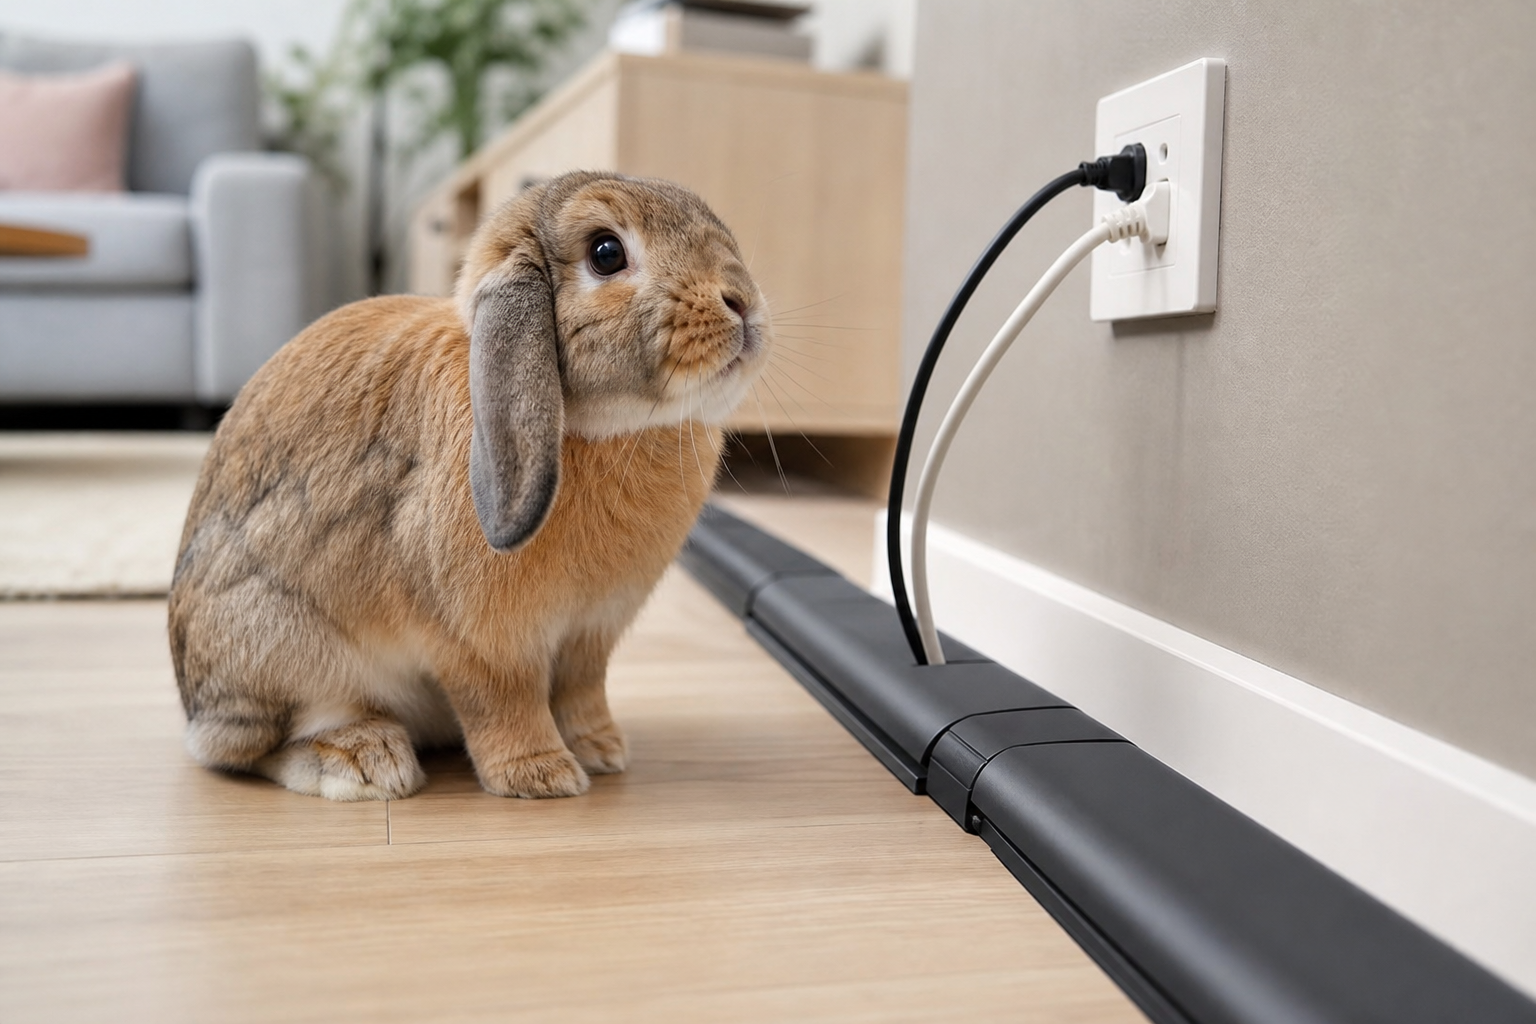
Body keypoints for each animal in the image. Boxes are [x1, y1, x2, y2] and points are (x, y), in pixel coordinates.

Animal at [167, 170, 771, 801]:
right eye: (606, 254)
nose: (742, 300)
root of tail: (195, 707)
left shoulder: (590, 637)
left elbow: (581, 693)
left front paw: (602, 751)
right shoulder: (482, 643)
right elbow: (503, 702)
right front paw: (542, 776)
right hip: (280, 649)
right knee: (249, 749)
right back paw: (366, 763)